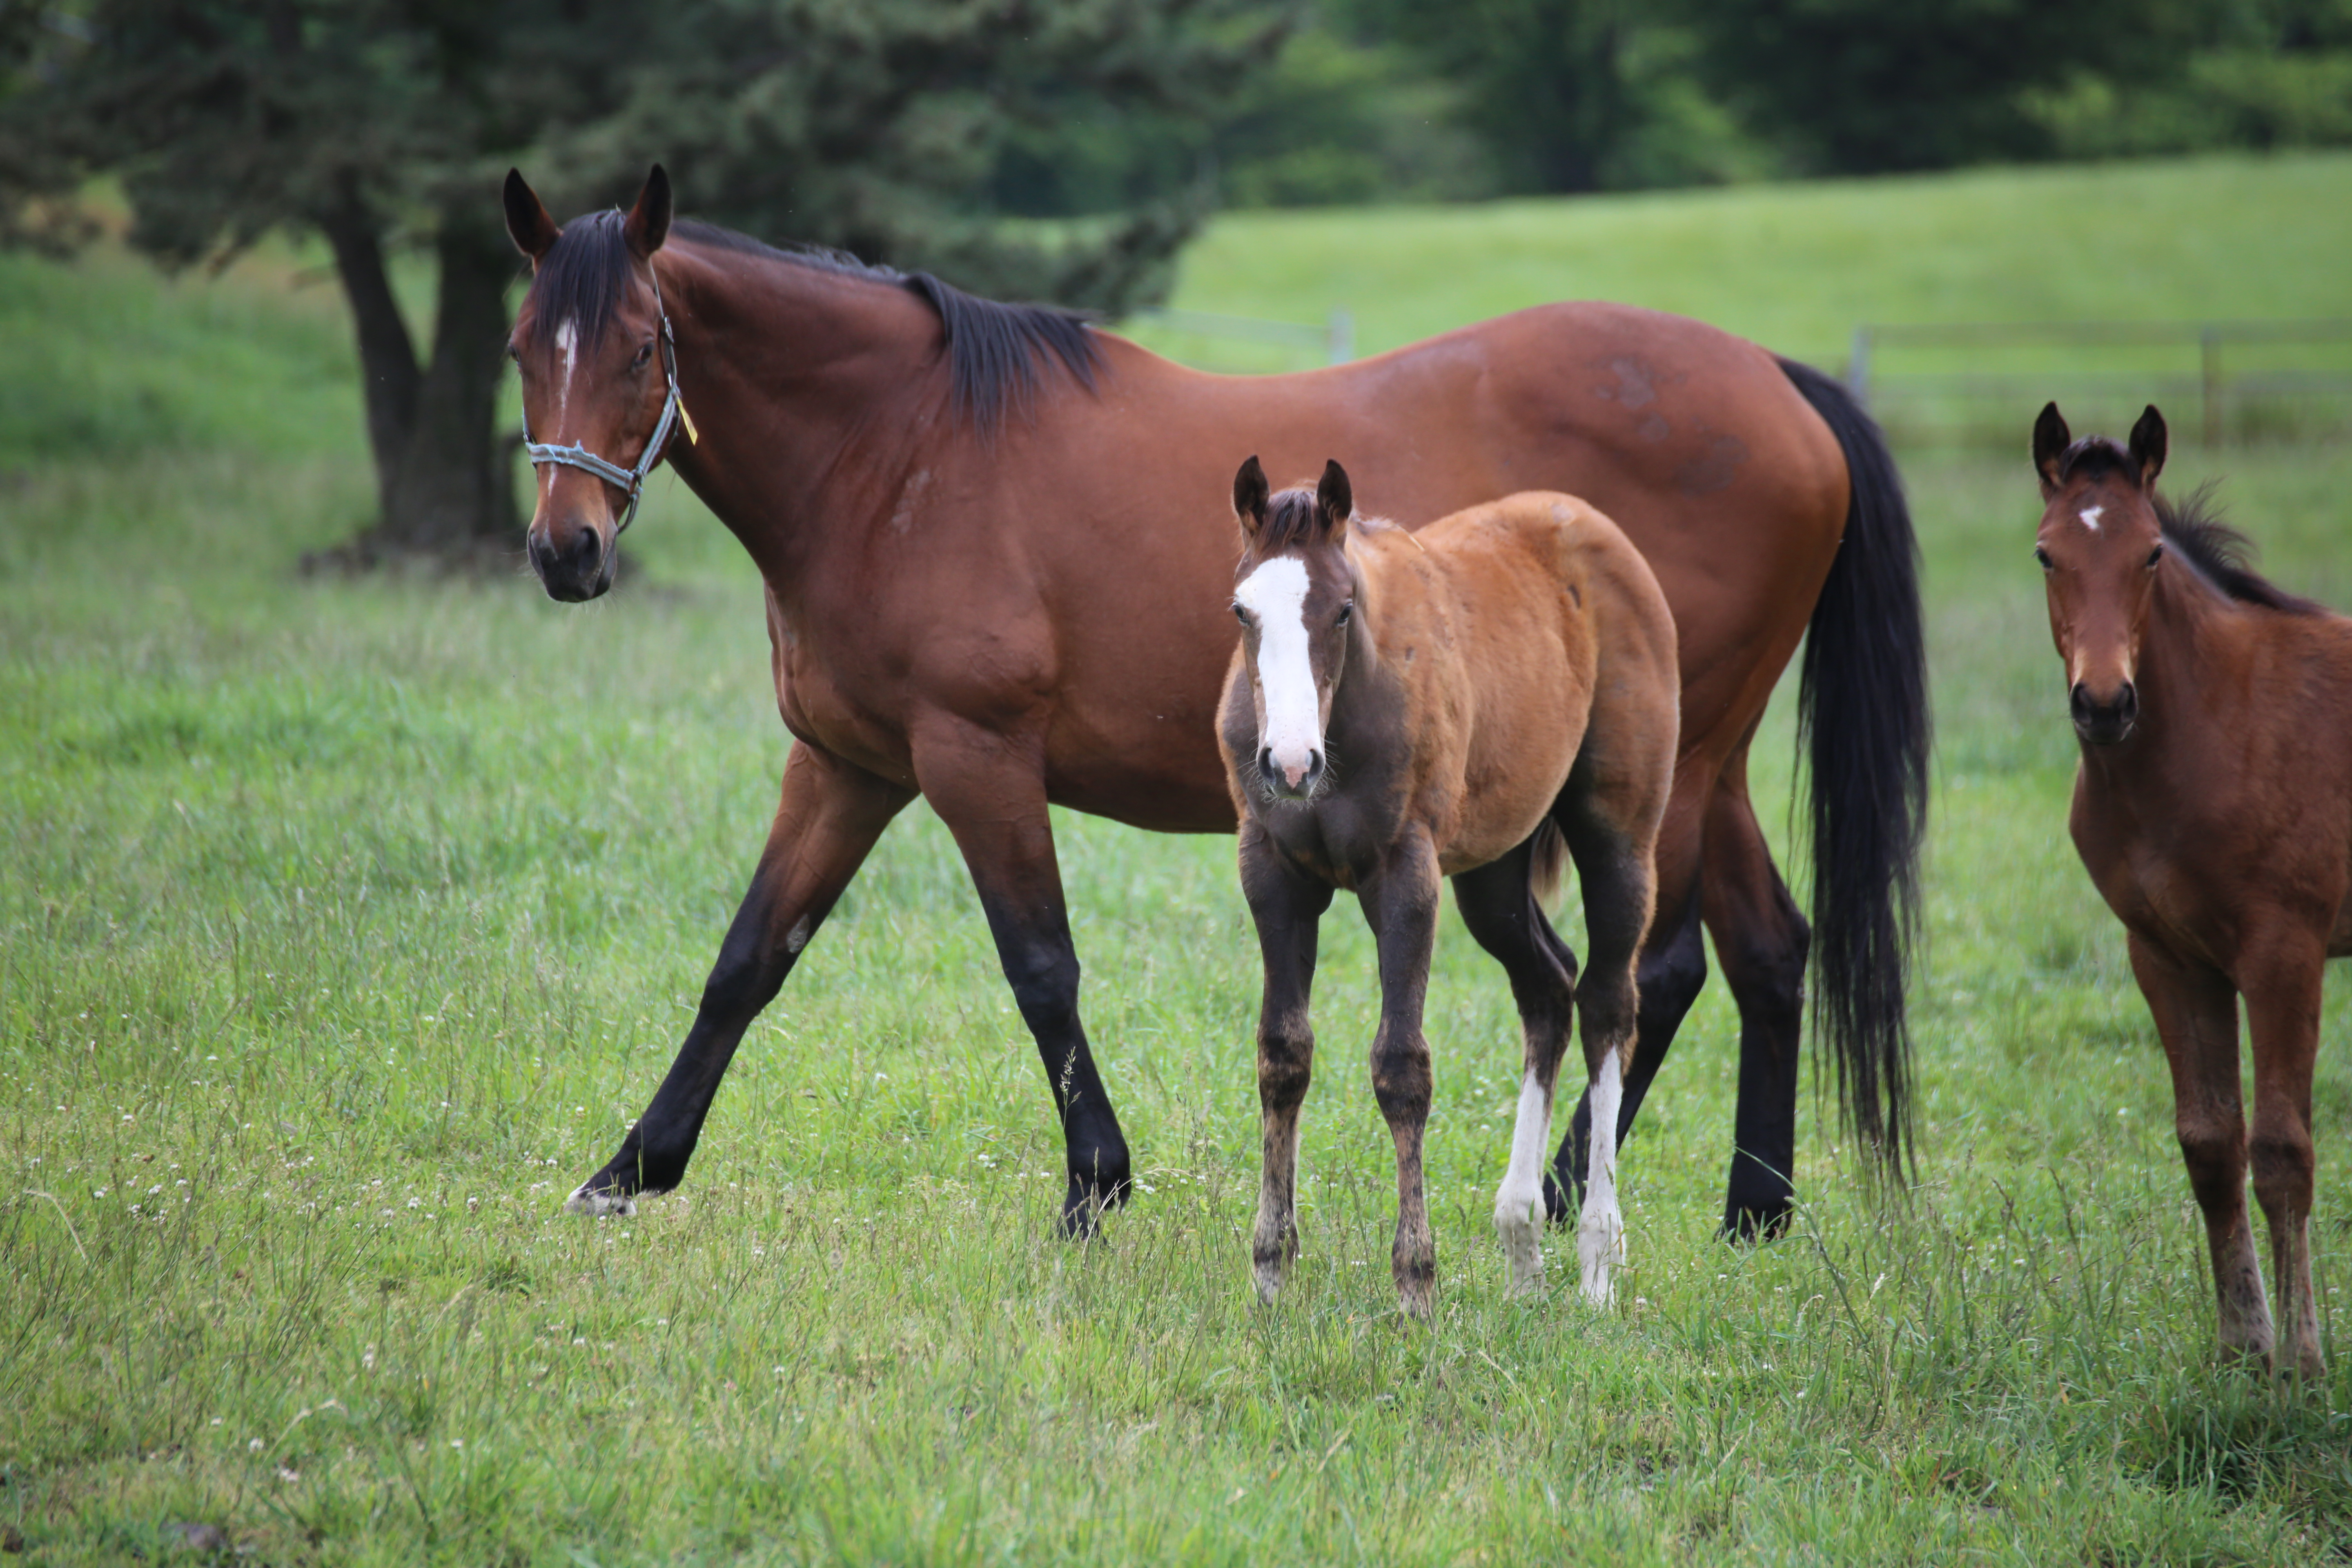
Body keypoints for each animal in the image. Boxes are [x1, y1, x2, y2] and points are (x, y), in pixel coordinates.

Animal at [506, 162, 1919, 1241]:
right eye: (524, 347)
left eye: (642, 348)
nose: (566, 550)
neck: (901, 449)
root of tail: (1782, 384)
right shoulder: (848, 765)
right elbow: (748, 960)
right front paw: (631, 1169)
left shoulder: (975, 758)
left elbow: (1041, 968)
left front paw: (1095, 1187)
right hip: (1696, 768)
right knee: (1767, 949)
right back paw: (1752, 1210)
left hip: (1665, 774)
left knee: (1661, 968)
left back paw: (1576, 1190)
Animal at [2032, 404, 2342, 1373]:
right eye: (2046, 553)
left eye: (2151, 555)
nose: (2103, 704)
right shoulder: (2167, 954)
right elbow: (2209, 1143)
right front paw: (2244, 1347)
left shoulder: (2285, 950)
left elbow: (2281, 1150)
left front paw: (2303, 1363)